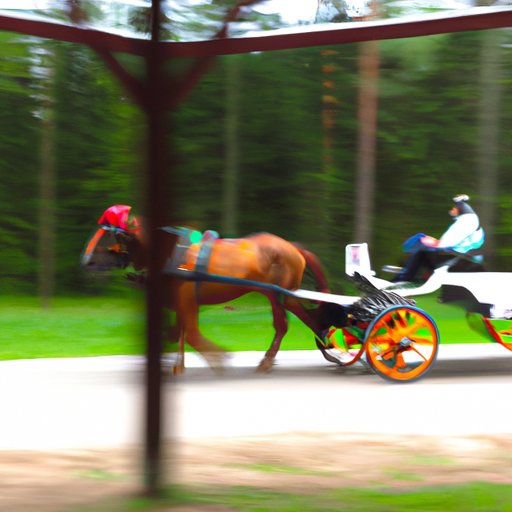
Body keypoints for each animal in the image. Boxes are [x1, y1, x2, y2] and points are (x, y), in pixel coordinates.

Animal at [81, 205, 334, 373]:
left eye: (111, 234)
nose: (86, 262)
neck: (172, 253)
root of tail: (293, 247)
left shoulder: (186, 296)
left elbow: (190, 333)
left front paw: (217, 358)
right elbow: (175, 331)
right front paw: (175, 363)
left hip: (281, 291)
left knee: (289, 322)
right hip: (273, 292)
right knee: (287, 321)